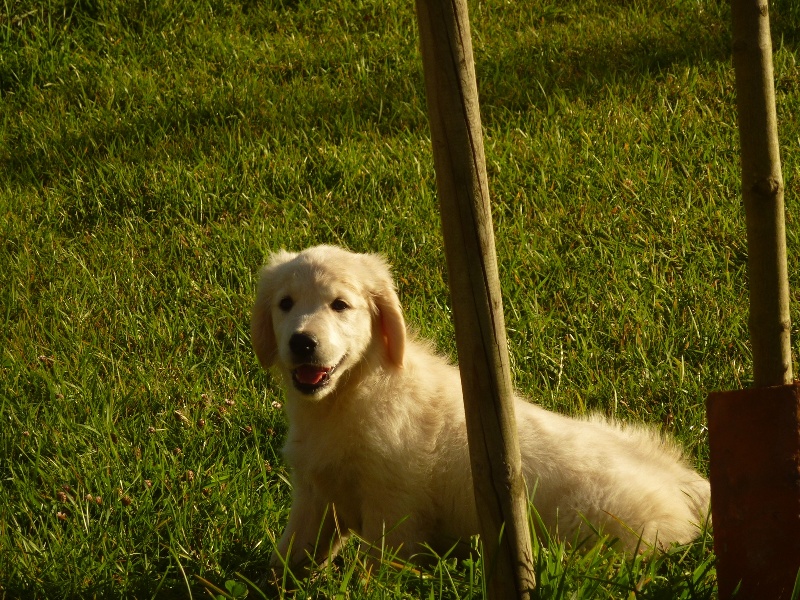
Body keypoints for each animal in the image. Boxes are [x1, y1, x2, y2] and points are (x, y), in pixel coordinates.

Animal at [253, 245, 708, 576]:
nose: (302, 343)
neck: (349, 394)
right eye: (285, 303)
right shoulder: (314, 496)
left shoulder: (393, 506)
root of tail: (690, 487)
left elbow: (381, 566)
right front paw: (268, 581)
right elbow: (289, 553)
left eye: (340, 305)